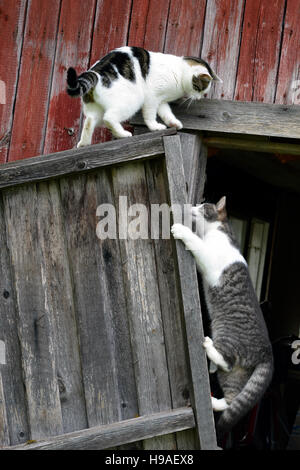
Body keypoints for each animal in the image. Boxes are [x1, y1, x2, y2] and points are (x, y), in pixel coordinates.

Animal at [66, 46, 220, 146]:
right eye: (199, 88)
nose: (199, 98)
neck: (179, 71)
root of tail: (96, 72)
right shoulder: (152, 97)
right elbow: (150, 115)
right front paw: (155, 127)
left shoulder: (161, 101)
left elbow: (166, 113)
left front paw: (173, 123)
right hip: (133, 99)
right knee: (109, 118)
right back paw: (123, 134)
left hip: (94, 109)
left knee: (89, 121)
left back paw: (84, 144)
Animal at [170, 196, 274, 436]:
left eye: (203, 206)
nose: (192, 207)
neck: (217, 231)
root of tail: (268, 352)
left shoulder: (208, 256)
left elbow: (196, 243)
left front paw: (181, 229)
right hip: (234, 375)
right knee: (232, 399)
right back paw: (213, 402)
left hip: (229, 340)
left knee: (226, 360)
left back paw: (209, 347)